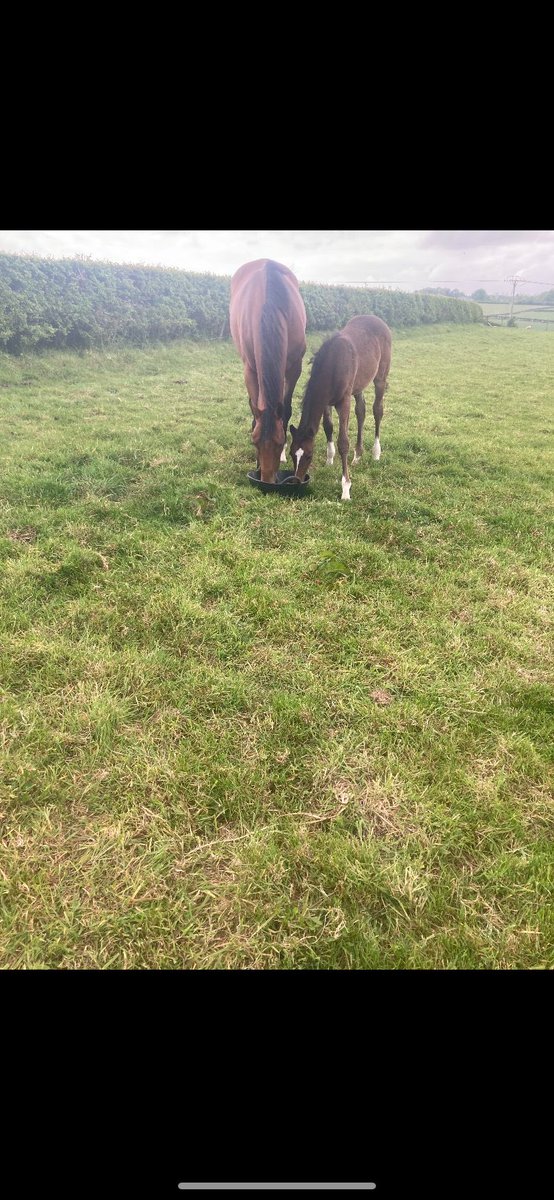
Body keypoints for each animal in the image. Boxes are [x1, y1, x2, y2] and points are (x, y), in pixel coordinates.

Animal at [229, 259, 307, 483]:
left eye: (281, 442)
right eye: (254, 442)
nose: (267, 480)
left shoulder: (294, 367)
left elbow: (286, 409)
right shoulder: (250, 370)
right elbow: (256, 411)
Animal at [289, 314, 392, 500]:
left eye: (309, 455)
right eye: (291, 453)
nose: (296, 481)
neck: (332, 364)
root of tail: (377, 319)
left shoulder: (343, 402)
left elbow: (343, 442)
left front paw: (345, 488)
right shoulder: (325, 402)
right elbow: (328, 426)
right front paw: (329, 459)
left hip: (380, 377)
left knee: (377, 410)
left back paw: (376, 453)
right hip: (358, 386)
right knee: (361, 411)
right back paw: (357, 455)